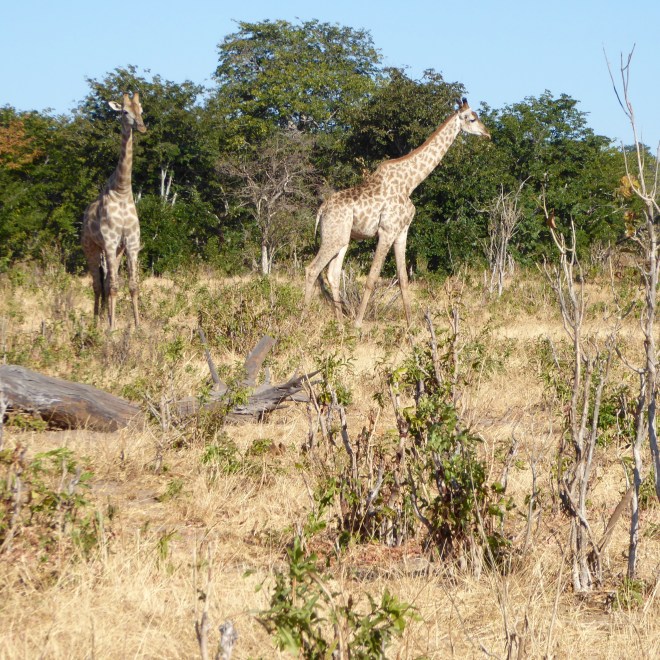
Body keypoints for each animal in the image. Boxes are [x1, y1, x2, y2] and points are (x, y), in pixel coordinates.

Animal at [82, 92, 146, 330]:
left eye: (141, 110)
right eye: (125, 112)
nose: (141, 127)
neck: (122, 190)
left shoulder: (131, 243)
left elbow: (133, 285)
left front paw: (137, 326)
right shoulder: (109, 241)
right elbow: (112, 286)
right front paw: (111, 328)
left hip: (116, 251)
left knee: (108, 280)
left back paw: (105, 319)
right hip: (91, 248)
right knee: (99, 284)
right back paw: (96, 323)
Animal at [304, 98, 490, 328]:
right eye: (472, 118)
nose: (487, 133)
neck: (410, 182)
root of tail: (321, 210)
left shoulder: (402, 232)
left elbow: (403, 278)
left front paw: (410, 324)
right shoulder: (387, 231)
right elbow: (372, 278)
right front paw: (358, 324)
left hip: (342, 239)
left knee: (332, 274)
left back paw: (339, 325)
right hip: (333, 237)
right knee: (312, 269)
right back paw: (301, 319)